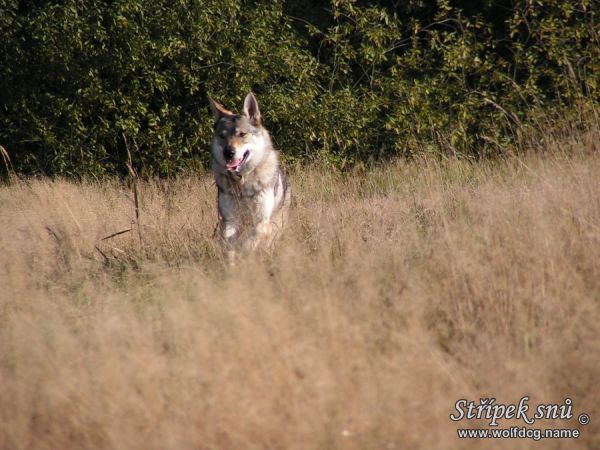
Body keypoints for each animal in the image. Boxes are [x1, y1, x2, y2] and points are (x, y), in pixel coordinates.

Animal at [209, 94, 290, 264]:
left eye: (242, 134)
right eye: (222, 136)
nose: (228, 153)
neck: (242, 185)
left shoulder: (262, 221)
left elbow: (250, 239)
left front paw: (242, 253)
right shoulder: (229, 220)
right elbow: (228, 245)